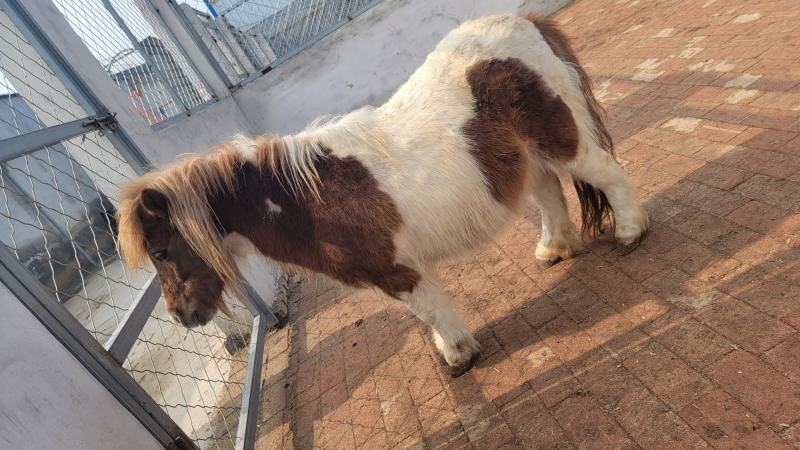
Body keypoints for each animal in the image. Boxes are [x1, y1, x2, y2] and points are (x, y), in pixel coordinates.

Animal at [117, 14, 649, 377]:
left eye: (161, 251)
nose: (183, 316)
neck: (309, 200)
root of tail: (524, 22)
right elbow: (428, 311)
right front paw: (455, 349)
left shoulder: (395, 271)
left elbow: (428, 310)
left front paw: (458, 355)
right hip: (525, 160)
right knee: (550, 196)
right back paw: (553, 249)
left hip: (561, 141)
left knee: (607, 174)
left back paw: (629, 232)